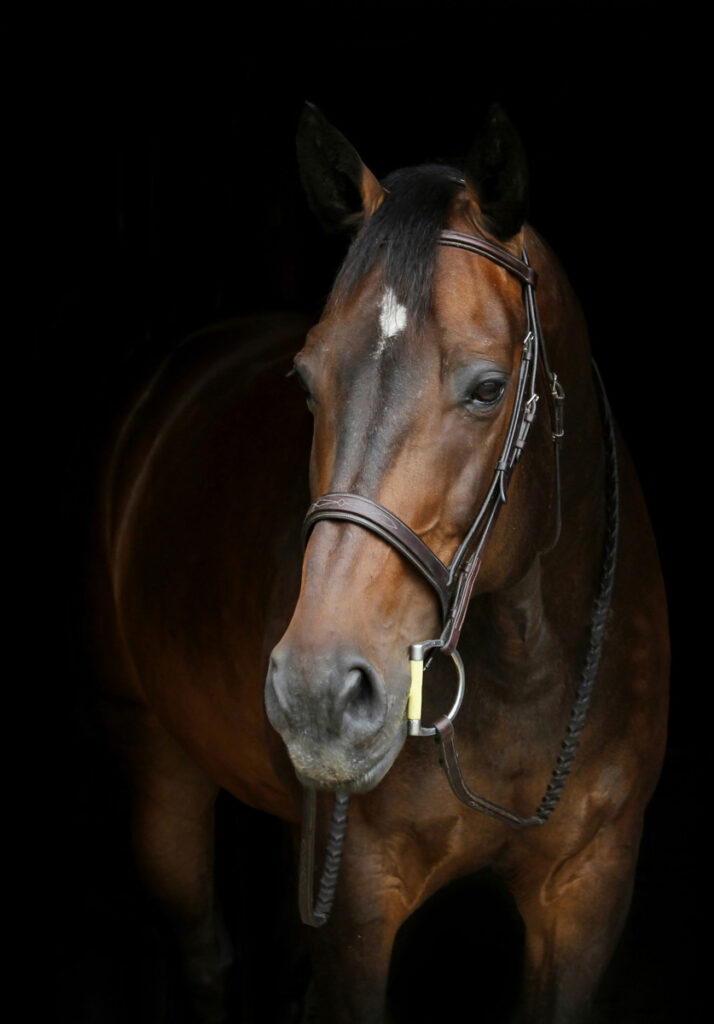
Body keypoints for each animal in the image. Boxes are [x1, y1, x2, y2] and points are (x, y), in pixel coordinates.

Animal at [88, 103, 669, 1023]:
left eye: (488, 388)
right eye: (305, 382)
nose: (318, 692)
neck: (527, 671)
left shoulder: (590, 891)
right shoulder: (357, 910)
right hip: (156, 763)